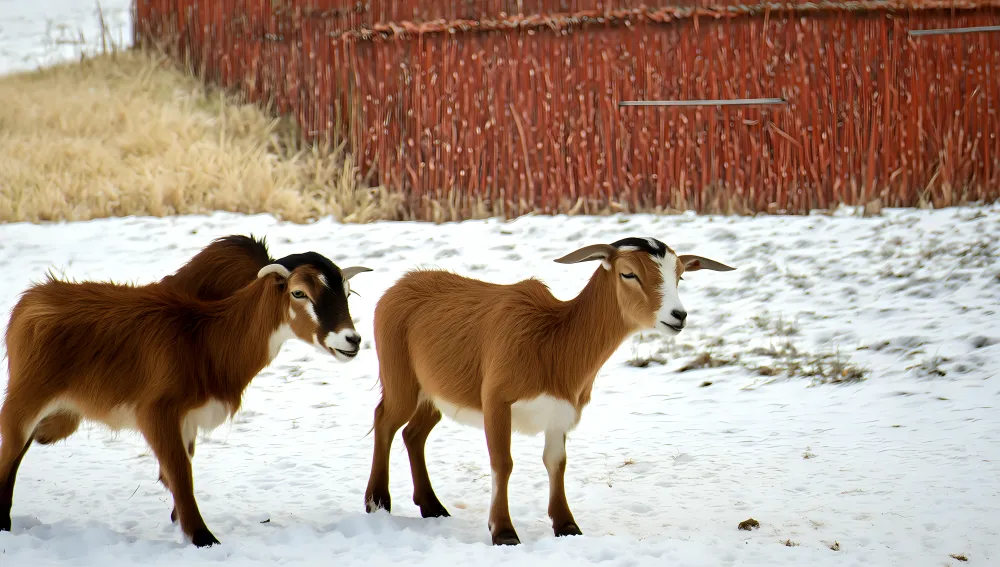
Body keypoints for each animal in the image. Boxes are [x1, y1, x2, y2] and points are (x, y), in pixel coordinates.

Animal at [0, 248, 371, 547]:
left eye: (347, 292)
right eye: (299, 292)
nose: (351, 339)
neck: (205, 340)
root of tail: (31, 298)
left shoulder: (188, 420)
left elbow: (176, 472)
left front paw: (181, 523)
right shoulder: (156, 412)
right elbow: (180, 473)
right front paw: (203, 538)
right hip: (26, 398)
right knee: (11, 451)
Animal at [363, 237, 734, 545]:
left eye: (680, 276)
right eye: (628, 273)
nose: (678, 315)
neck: (553, 343)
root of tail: (396, 288)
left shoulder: (561, 412)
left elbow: (556, 463)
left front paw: (567, 525)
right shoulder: (496, 399)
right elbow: (502, 462)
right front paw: (503, 531)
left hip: (434, 394)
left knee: (414, 433)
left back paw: (432, 506)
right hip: (400, 378)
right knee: (385, 420)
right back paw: (377, 501)